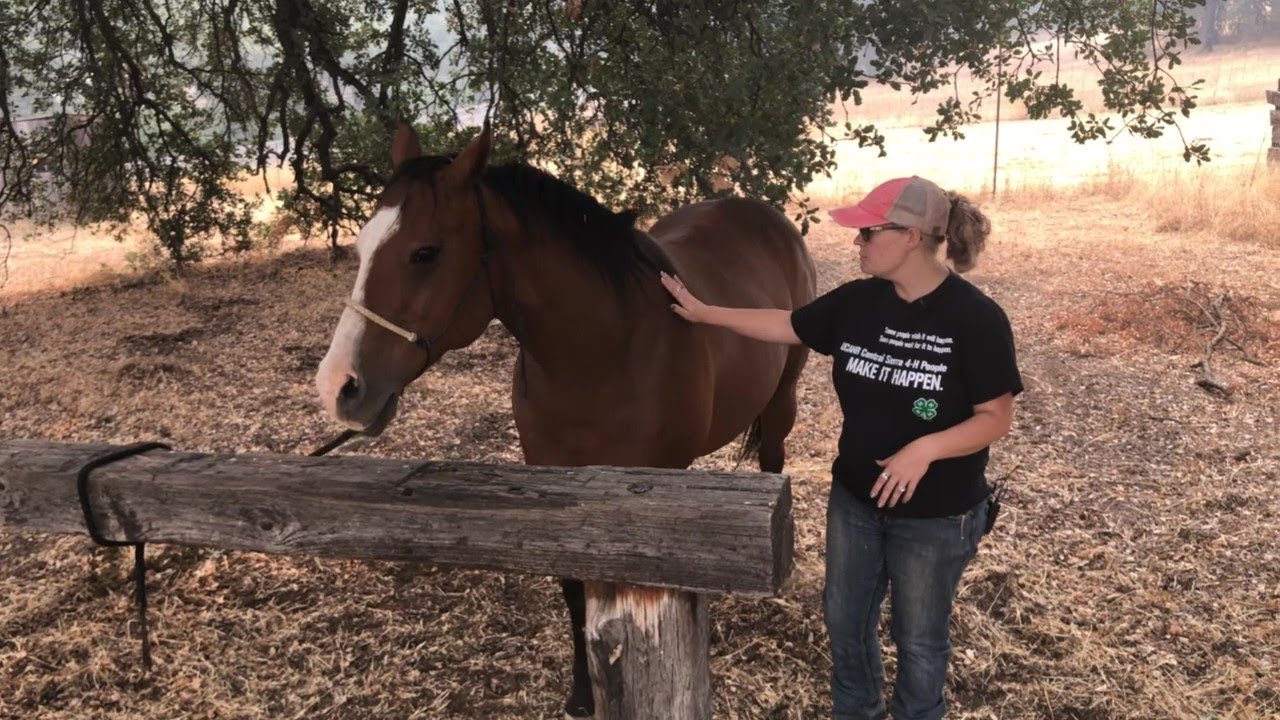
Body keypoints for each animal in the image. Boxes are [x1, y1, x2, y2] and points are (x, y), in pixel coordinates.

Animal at [315, 122, 817, 718]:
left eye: (425, 253)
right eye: (362, 248)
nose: (338, 385)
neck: (602, 354)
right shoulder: (557, 487)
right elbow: (574, 589)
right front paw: (583, 692)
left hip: (782, 399)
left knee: (772, 460)